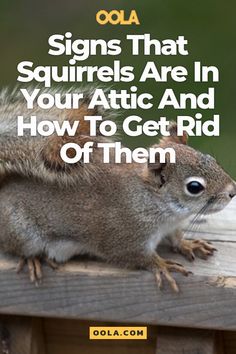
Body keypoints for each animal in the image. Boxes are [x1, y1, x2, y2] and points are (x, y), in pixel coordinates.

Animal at [0, 88, 235, 290]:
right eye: (194, 187)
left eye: (212, 159)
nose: (232, 191)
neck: (156, 203)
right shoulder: (124, 235)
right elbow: (135, 256)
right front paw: (162, 265)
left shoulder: (171, 225)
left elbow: (176, 237)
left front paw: (188, 244)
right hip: (21, 232)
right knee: (18, 248)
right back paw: (32, 259)